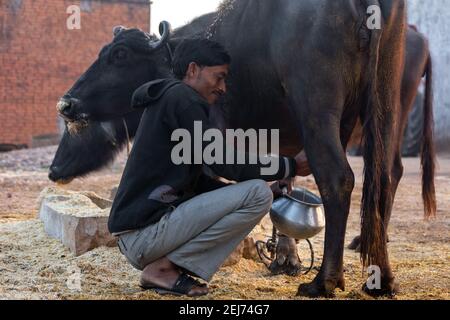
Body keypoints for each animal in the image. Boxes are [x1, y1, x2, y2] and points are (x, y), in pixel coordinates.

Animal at [50, 1, 412, 298]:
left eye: (120, 55)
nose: (66, 103)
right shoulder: (281, 139)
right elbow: (284, 182)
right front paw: (285, 258)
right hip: (384, 102)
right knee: (382, 178)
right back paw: (382, 279)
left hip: (317, 107)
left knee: (337, 179)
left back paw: (324, 281)